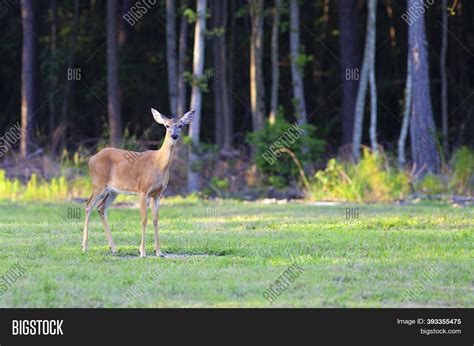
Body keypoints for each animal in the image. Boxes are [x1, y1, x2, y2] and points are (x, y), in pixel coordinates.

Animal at [81, 108, 194, 256]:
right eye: (167, 125)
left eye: (180, 125)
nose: (174, 136)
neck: (159, 163)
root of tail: (90, 159)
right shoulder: (143, 190)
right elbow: (144, 219)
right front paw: (142, 252)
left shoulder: (157, 194)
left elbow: (156, 219)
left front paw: (159, 252)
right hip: (98, 184)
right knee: (88, 205)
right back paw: (84, 247)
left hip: (113, 191)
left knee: (101, 208)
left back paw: (113, 248)